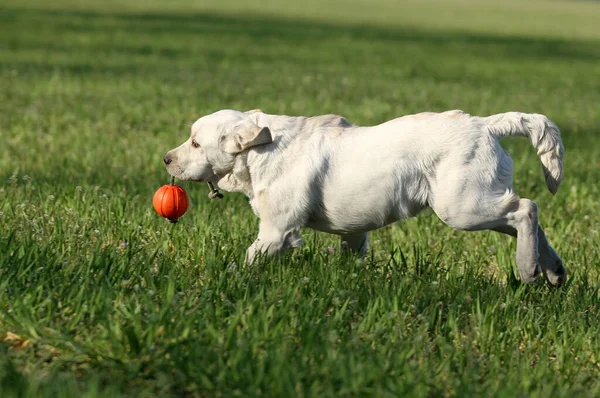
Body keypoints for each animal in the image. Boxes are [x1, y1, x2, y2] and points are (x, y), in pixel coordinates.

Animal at [164, 107, 568, 284]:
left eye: (196, 143)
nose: (167, 158)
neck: (263, 150)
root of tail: (485, 124)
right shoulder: (354, 232)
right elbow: (351, 253)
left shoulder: (277, 231)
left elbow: (250, 258)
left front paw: (228, 275)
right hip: (477, 203)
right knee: (528, 221)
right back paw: (552, 269)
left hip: (462, 207)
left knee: (526, 209)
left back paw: (527, 268)